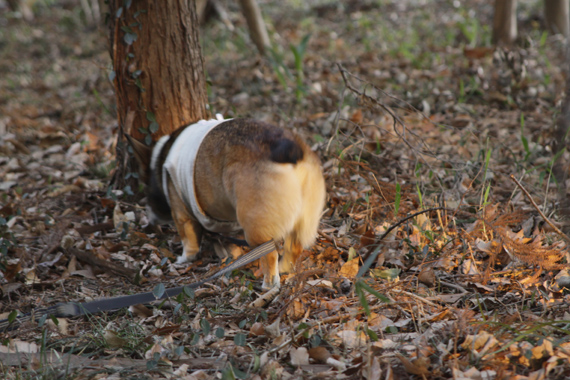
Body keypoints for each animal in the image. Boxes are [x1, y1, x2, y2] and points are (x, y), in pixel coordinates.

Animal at [127, 116, 326, 288]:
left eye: (146, 190)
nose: (150, 221)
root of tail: (290, 149)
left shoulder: (181, 214)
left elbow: (188, 240)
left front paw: (185, 258)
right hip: (303, 219)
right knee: (295, 246)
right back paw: (285, 269)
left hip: (256, 229)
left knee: (268, 254)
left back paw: (268, 285)